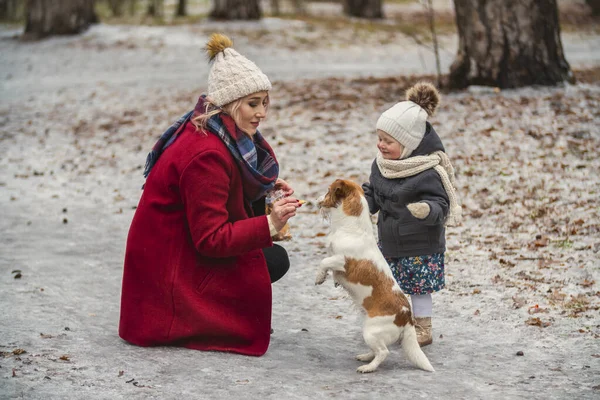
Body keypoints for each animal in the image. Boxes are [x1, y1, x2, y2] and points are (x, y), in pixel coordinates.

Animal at [314, 178, 436, 372]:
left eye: (328, 191)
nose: (316, 199)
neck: (350, 227)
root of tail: (406, 318)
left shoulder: (341, 260)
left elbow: (324, 262)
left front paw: (320, 277)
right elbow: (329, 268)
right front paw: (332, 280)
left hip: (370, 332)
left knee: (383, 352)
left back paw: (368, 368)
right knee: (377, 350)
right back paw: (365, 357)